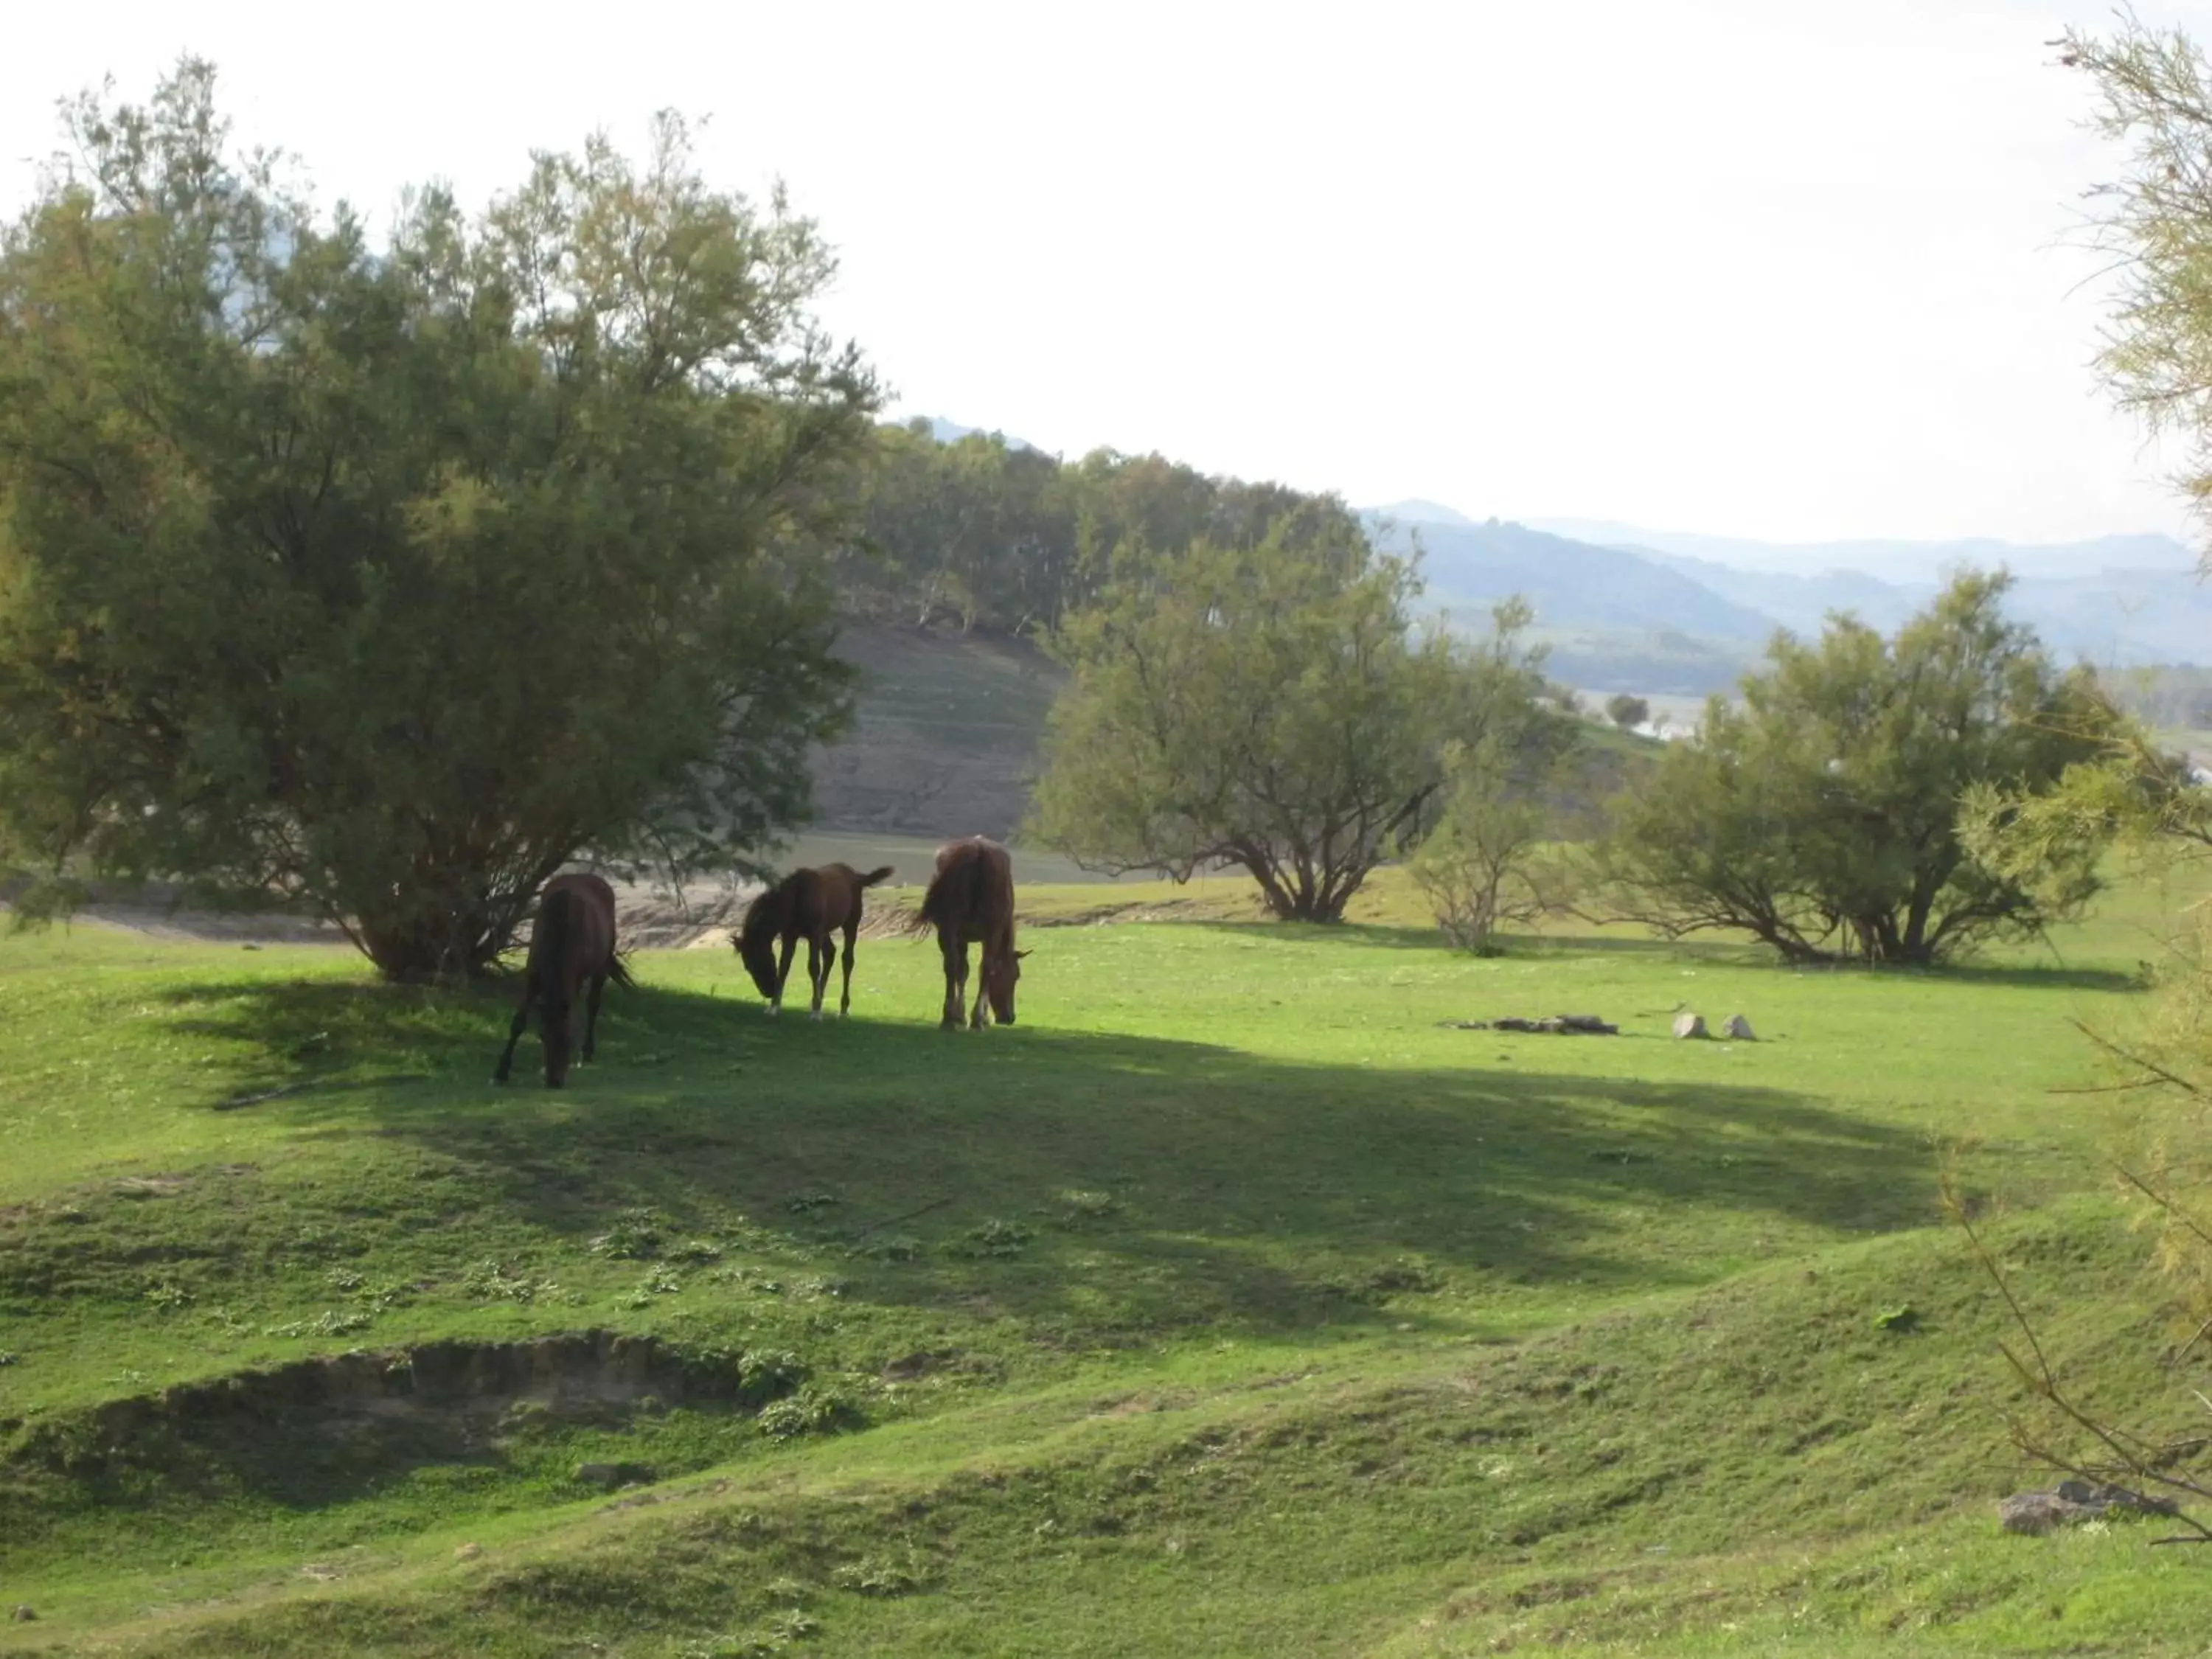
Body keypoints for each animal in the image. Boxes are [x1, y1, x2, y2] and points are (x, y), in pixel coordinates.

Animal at [487, 872, 624, 1093]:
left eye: (568, 1040)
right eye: (542, 1036)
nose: (554, 1081)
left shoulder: (574, 980)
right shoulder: (533, 976)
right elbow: (518, 1022)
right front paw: (501, 1072)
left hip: (602, 966)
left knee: (593, 1003)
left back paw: (587, 1051)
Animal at [734, 863, 889, 1022]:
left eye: (755, 962)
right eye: (747, 967)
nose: (768, 992)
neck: (795, 900)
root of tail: (858, 877)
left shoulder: (814, 934)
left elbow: (814, 967)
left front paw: (816, 1012)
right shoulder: (790, 935)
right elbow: (784, 966)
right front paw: (774, 1007)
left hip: (851, 923)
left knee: (847, 960)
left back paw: (842, 1009)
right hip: (825, 930)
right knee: (830, 952)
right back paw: (820, 999)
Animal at [916, 836, 1026, 1035]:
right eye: (1016, 975)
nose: (1010, 1017)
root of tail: (978, 852)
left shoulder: (962, 937)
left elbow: (962, 971)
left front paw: (960, 1015)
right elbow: (973, 972)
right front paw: (972, 1015)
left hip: (949, 927)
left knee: (952, 966)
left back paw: (949, 1019)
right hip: (989, 931)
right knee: (985, 968)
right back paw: (976, 1020)